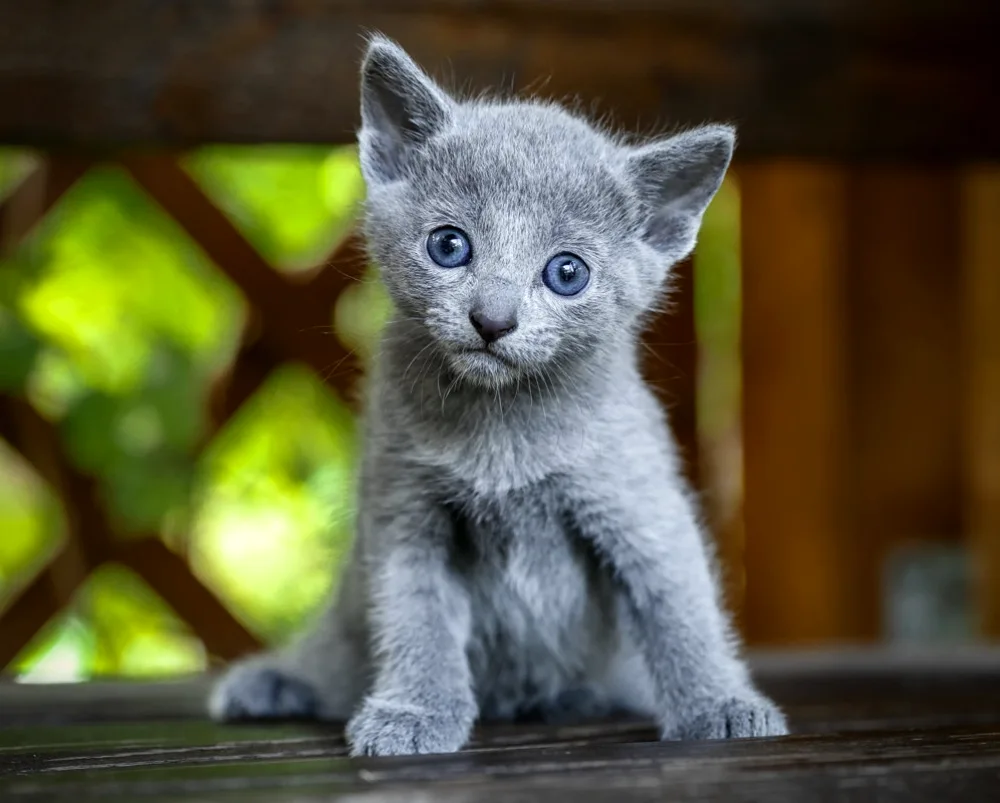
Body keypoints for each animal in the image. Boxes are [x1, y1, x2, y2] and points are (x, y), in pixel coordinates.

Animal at [209, 34, 788, 756]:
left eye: (567, 272)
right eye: (448, 245)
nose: (492, 317)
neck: (502, 427)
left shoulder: (639, 502)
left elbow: (679, 607)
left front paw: (720, 703)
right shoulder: (404, 511)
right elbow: (416, 617)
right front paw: (414, 710)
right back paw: (276, 682)